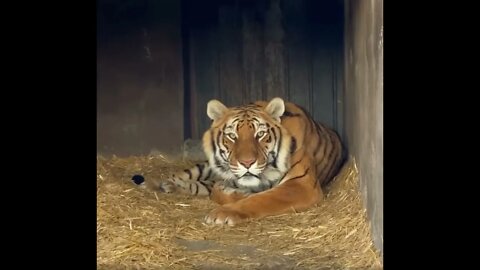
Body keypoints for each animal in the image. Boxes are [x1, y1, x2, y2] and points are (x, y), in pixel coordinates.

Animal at [137, 97, 346, 226]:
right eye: (232, 135)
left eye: (260, 134)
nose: (247, 163)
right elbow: (219, 192)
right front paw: (235, 193)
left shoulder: (301, 184)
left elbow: (260, 199)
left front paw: (222, 213)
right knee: (182, 175)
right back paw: (157, 183)